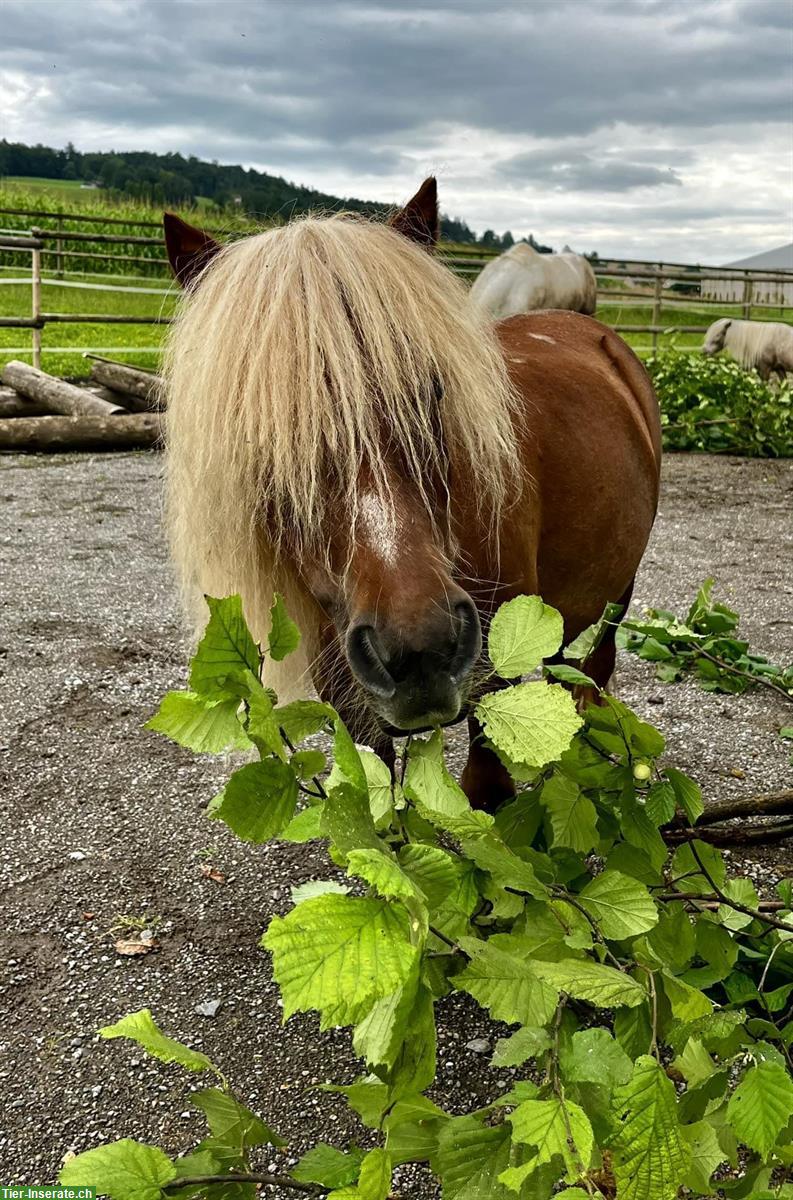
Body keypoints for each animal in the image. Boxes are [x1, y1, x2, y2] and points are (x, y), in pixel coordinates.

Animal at [161, 182, 662, 811]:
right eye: (264, 428)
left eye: (434, 390)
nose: (420, 648)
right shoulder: (350, 697)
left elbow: (487, 786)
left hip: (615, 598)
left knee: (591, 675)